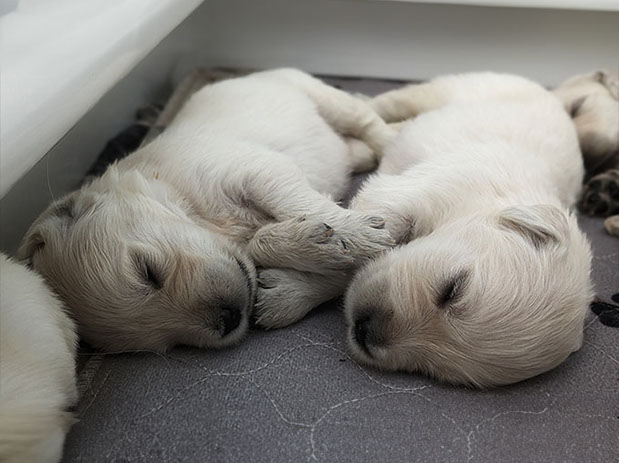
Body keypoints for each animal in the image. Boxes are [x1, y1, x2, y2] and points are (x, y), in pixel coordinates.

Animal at [19, 69, 394, 352]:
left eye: (147, 270)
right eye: (167, 344)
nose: (228, 319)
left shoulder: (255, 171)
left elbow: (298, 206)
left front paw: (351, 235)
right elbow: (263, 241)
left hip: (322, 98)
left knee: (373, 125)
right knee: (359, 147)